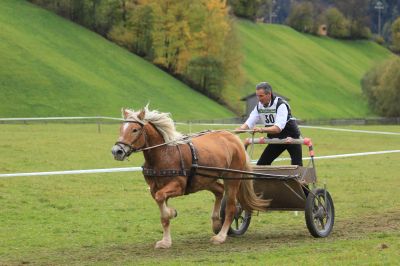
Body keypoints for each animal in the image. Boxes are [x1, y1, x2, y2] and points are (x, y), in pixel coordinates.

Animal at [111, 106, 270, 249]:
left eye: (135, 129)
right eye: (121, 128)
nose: (117, 151)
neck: (164, 153)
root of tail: (233, 138)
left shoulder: (178, 186)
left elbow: (161, 201)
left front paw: (171, 213)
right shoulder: (154, 189)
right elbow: (162, 212)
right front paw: (166, 240)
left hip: (233, 178)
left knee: (231, 208)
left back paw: (221, 236)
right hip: (206, 179)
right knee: (219, 190)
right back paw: (216, 222)